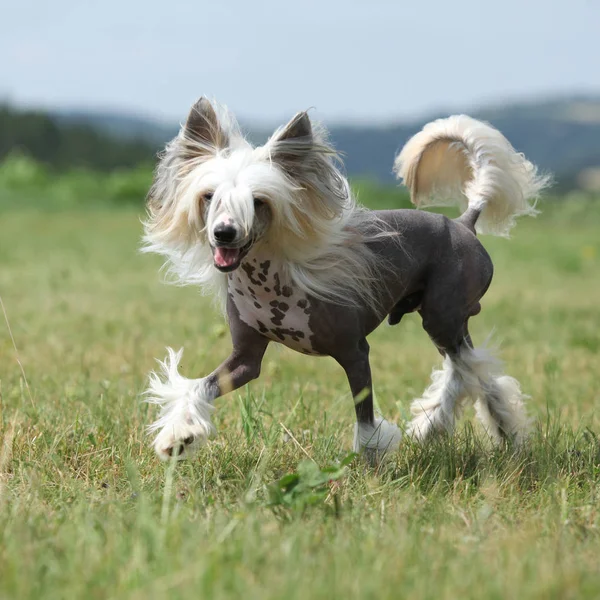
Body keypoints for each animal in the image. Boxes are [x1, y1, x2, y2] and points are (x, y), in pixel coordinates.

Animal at [141, 97, 548, 460]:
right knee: (473, 370)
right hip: (447, 321)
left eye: (259, 202)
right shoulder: (245, 359)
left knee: (467, 369)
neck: (269, 278)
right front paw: (179, 435)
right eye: (208, 196)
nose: (224, 234)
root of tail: (464, 222)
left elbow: (365, 418)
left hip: (442, 315)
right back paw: (484, 428)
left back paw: (452, 426)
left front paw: (370, 462)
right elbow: (201, 387)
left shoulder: (354, 352)